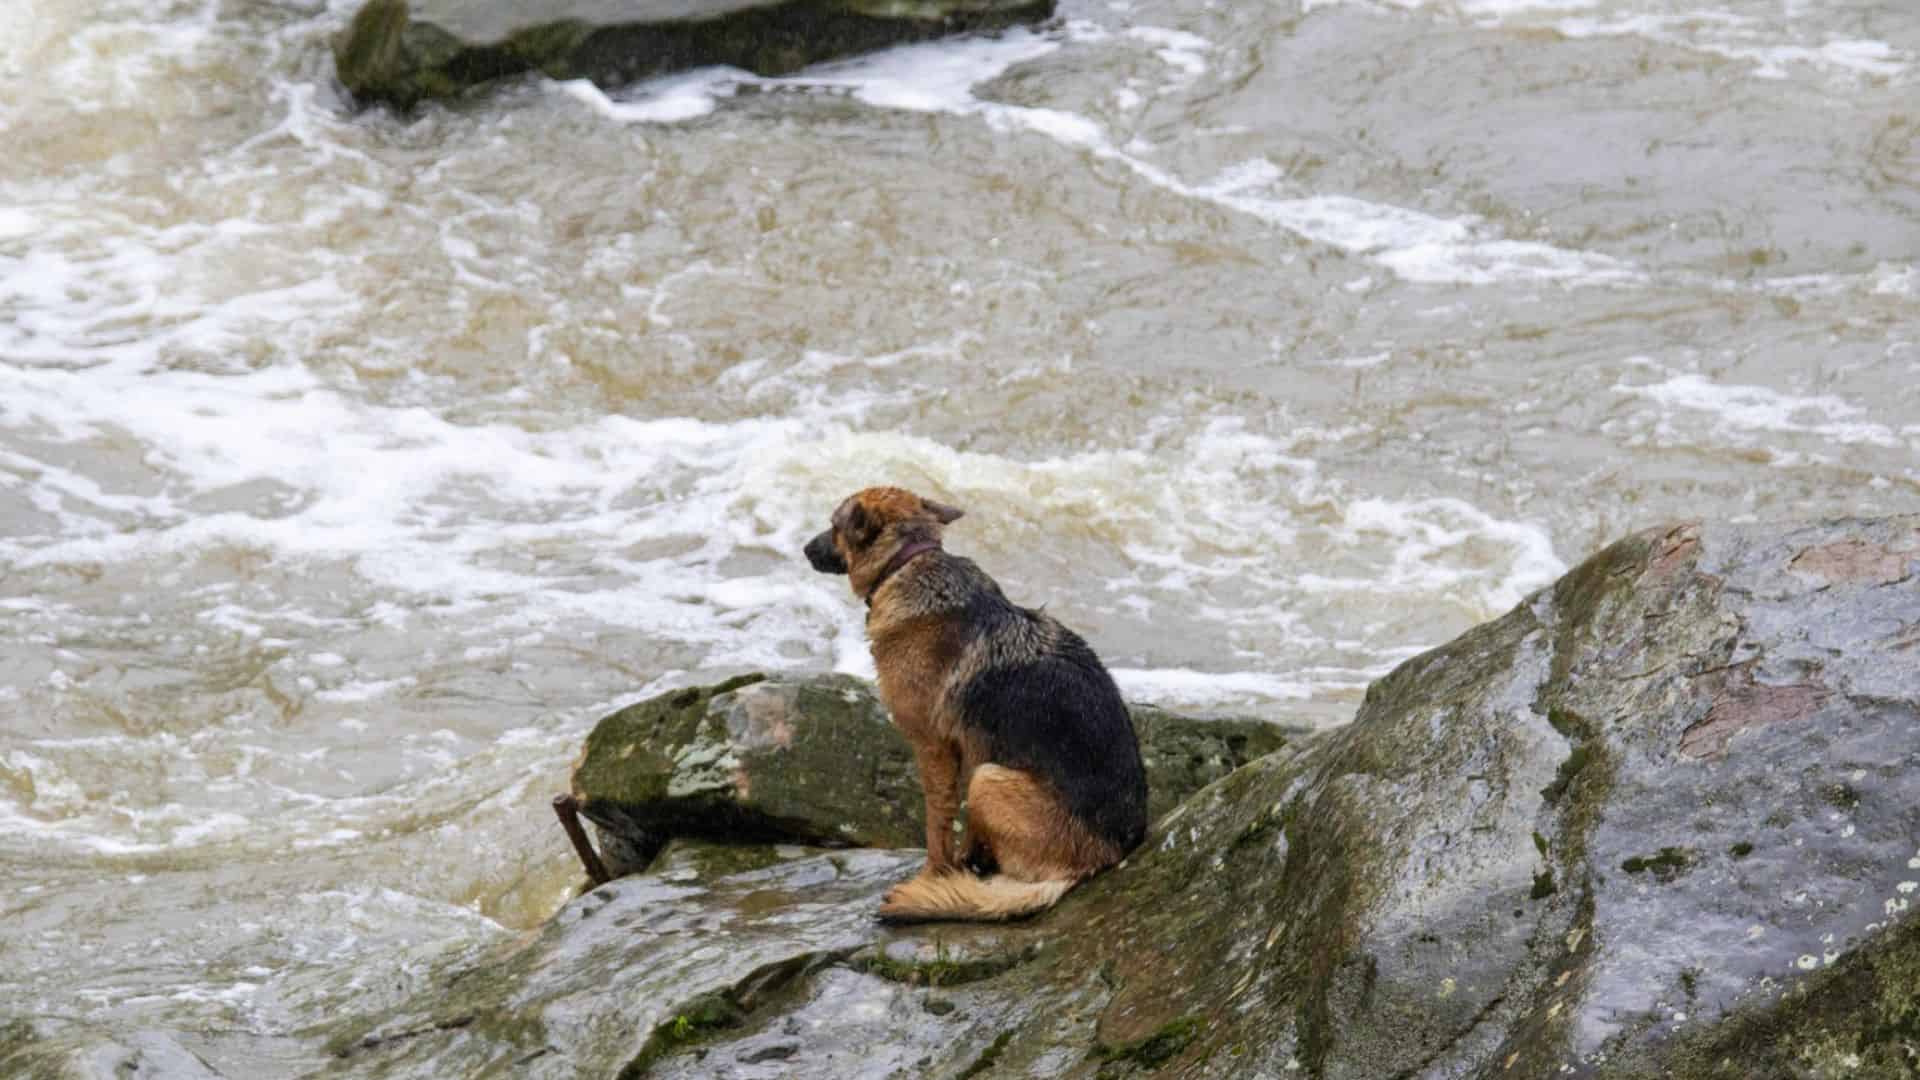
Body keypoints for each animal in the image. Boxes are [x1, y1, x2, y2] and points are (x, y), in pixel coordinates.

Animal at [802, 488, 1144, 914]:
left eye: (834, 525)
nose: (804, 549)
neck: (907, 562)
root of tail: (1102, 857)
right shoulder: (965, 750)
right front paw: (960, 865)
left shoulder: (933, 747)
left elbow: (938, 821)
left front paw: (933, 877)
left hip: (989, 780)